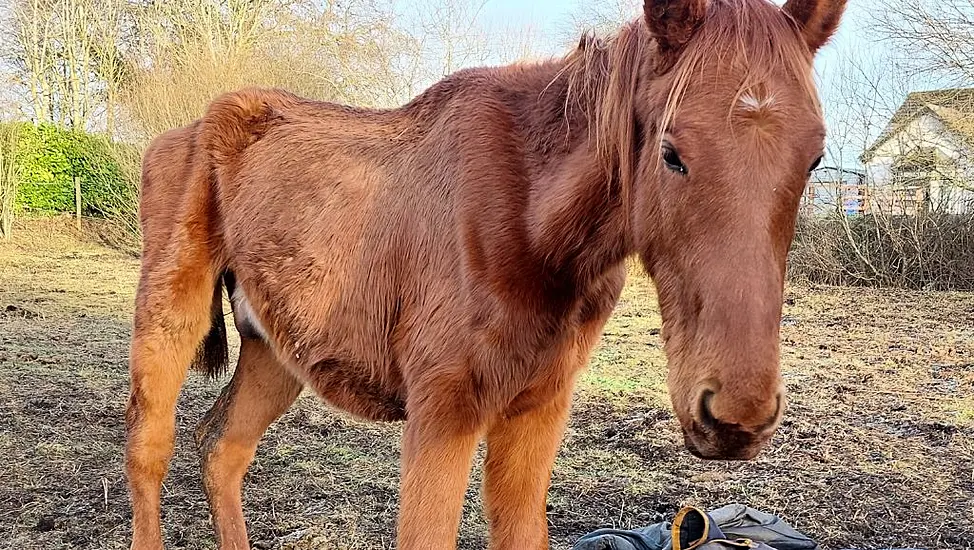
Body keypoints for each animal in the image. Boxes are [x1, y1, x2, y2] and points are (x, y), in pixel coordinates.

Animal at [127, 0, 848, 548]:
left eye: (814, 158)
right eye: (672, 151)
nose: (737, 415)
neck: (532, 227)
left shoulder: (535, 414)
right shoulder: (443, 418)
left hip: (275, 349)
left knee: (223, 451)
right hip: (168, 319)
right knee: (149, 451)